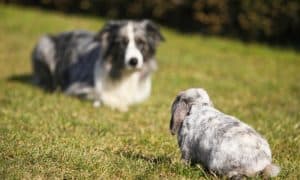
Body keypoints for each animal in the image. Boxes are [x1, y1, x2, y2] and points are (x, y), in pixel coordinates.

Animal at [31, 19, 164, 109]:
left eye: (141, 42)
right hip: (44, 44)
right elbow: (101, 94)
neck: (126, 75)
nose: (133, 61)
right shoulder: (76, 87)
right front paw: (118, 105)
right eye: (122, 43)